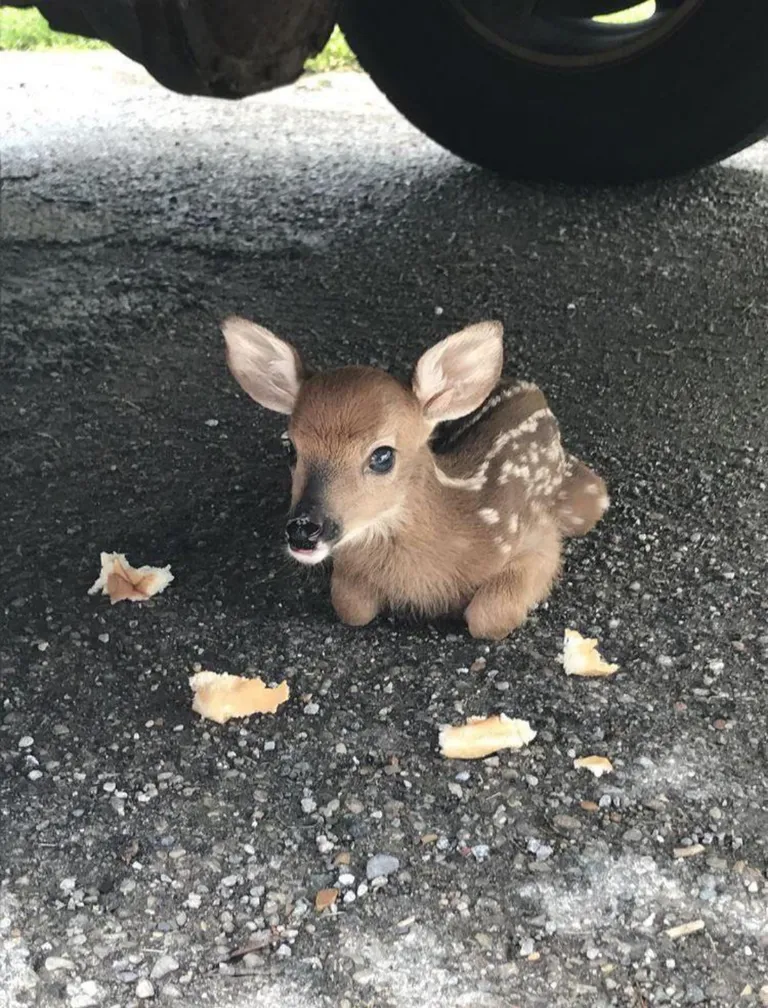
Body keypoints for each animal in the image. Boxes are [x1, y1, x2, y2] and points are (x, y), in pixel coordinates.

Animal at [222, 316, 609, 640]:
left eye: (382, 456)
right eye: (290, 448)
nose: (304, 528)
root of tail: (527, 387)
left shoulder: (536, 538)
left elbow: (488, 617)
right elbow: (351, 607)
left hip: (585, 500)